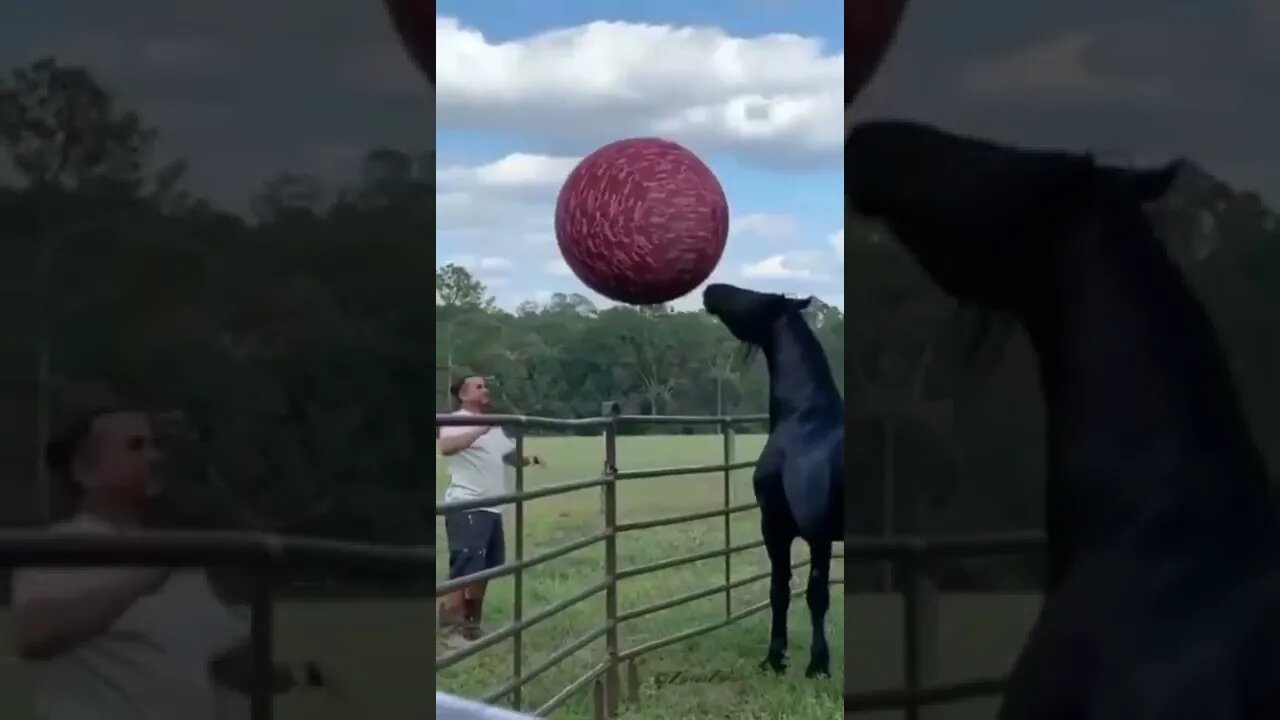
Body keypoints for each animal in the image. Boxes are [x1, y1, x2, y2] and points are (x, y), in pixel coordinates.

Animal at [696, 283, 844, 676]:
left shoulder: (775, 527)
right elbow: (818, 596)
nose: (711, 290)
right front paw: (819, 664)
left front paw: (779, 659)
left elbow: (782, 591)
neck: (802, 417)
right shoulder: (819, 536)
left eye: (757, 298)